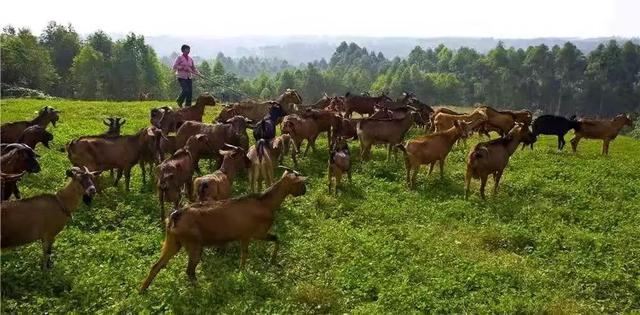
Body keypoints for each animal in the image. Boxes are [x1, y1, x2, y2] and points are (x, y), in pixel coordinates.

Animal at [139, 169, 308, 292]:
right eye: (301, 183)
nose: (305, 191)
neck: (266, 203)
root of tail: (175, 216)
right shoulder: (257, 233)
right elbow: (276, 238)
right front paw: (271, 260)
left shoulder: (244, 236)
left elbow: (244, 255)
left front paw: (242, 272)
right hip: (194, 244)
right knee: (189, 271)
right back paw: (201, 289)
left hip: (173, 241)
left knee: (156, 265)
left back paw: (142, 290)